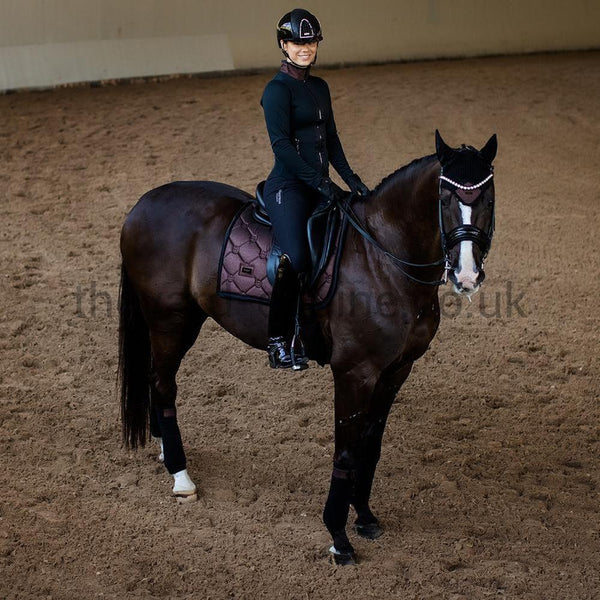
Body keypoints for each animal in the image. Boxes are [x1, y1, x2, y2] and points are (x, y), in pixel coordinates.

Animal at [117, 129, 496, 564]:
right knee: (163, 385)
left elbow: (370, 447)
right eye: (446, 199)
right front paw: (338, 537)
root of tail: (144, 203)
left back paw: (165, 451)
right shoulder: (354, 373)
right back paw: (181, 477)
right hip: (170, 321)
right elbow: (346, 452)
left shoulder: (396, 370)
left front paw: (365, 517)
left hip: (184, 320)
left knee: (155, 380)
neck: (383, 257)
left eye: (487, 199)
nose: (467, 276)